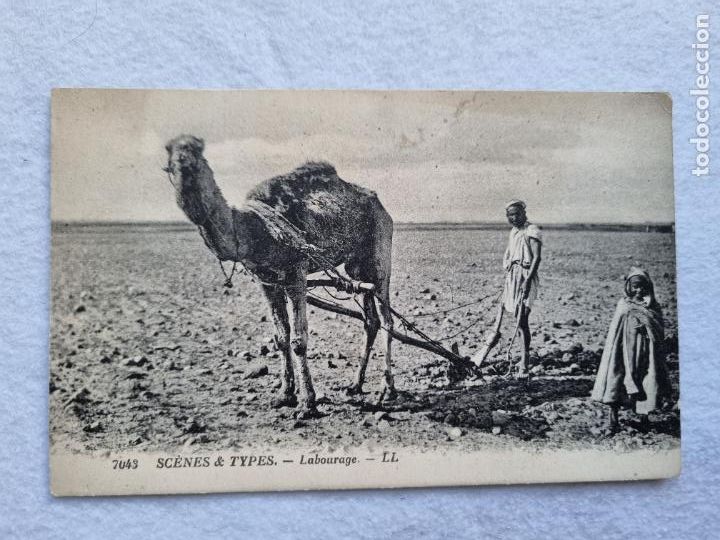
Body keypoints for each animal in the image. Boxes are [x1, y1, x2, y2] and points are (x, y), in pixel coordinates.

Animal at [164, 134, 395, 418]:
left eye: (197, 151)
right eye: (169, 154)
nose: (182, 162)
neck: (253, 229)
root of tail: (382, 206)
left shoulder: (296, 273)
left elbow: (298, 340)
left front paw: (307, 403)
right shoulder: (267, 281)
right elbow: (281, 337)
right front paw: (285, 394)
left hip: (380, 252)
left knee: (386, 319)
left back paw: (387, 390)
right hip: (357, 267)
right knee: (370, 320)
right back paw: (355, 385)